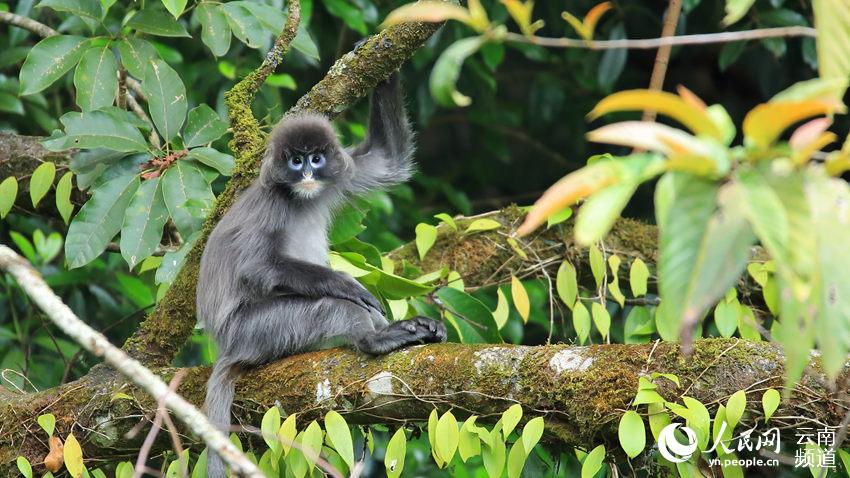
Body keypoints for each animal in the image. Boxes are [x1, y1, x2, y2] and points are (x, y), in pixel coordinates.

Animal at [196, 75, 448, 478]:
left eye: (316, 158)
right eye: (295, 160)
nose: (308, 174)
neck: (300, 198)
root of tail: (227, 344)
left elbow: (388, 159)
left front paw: (385, 66)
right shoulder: (272, 203)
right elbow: (256, 269)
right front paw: (345, 282)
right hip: (255, 330)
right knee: (333, 309)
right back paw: (375, 338)